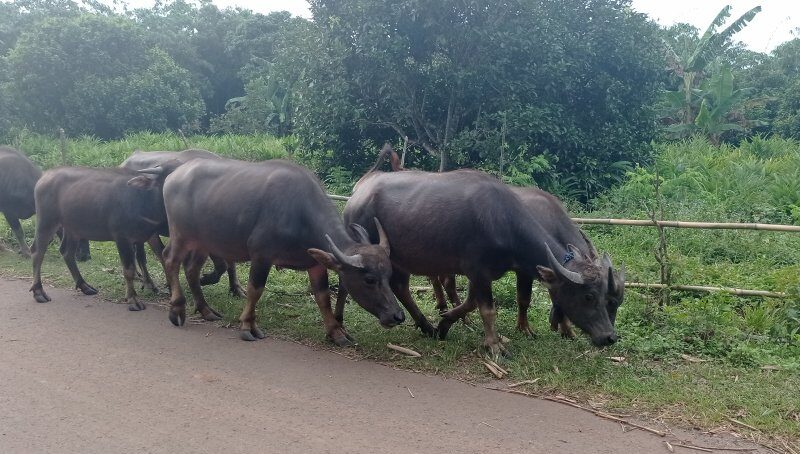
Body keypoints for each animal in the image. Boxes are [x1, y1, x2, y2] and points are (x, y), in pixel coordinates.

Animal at [30, 164, 177, 312]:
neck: (142, 199)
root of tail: (44, 177)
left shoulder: (149, 234)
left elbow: (161, 257)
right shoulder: (122, 238)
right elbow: (129, 269)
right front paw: (132, 299)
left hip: (73, 228)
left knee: (67, 253)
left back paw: (84, 286)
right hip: (46, 221)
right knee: (37, 251)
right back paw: (38, 292)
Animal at [119, 149, 244, 298]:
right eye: (165, 180)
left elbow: (226, 263)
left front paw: (235, 288)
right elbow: (162, 254)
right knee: (141, 255)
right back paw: (149, 283)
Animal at [161, 159, 406, 344]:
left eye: (389, 276)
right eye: (369, 279)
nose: (397, 316)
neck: (299, 214)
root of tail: (173, 176)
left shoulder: (315, 264)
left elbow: (323, 297)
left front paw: (336, 332)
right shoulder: (261, 256)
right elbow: (255, 290)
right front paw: (248, 325)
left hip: (202, 242)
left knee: (191, 269)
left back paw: (205, 310)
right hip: (181, 235)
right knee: (170, 259)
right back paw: (177, 309)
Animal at [340, 149, 620, 354]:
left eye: (607, 296)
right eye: (588, 296)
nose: (609, 337)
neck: (502, 222)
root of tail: (358, 194)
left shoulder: (480, 274)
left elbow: (470, 303)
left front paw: (445, 323)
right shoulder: (478, 270)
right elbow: (487, 309)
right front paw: (494, 345)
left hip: (400, 259)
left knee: (401, 287)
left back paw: (427, 326)